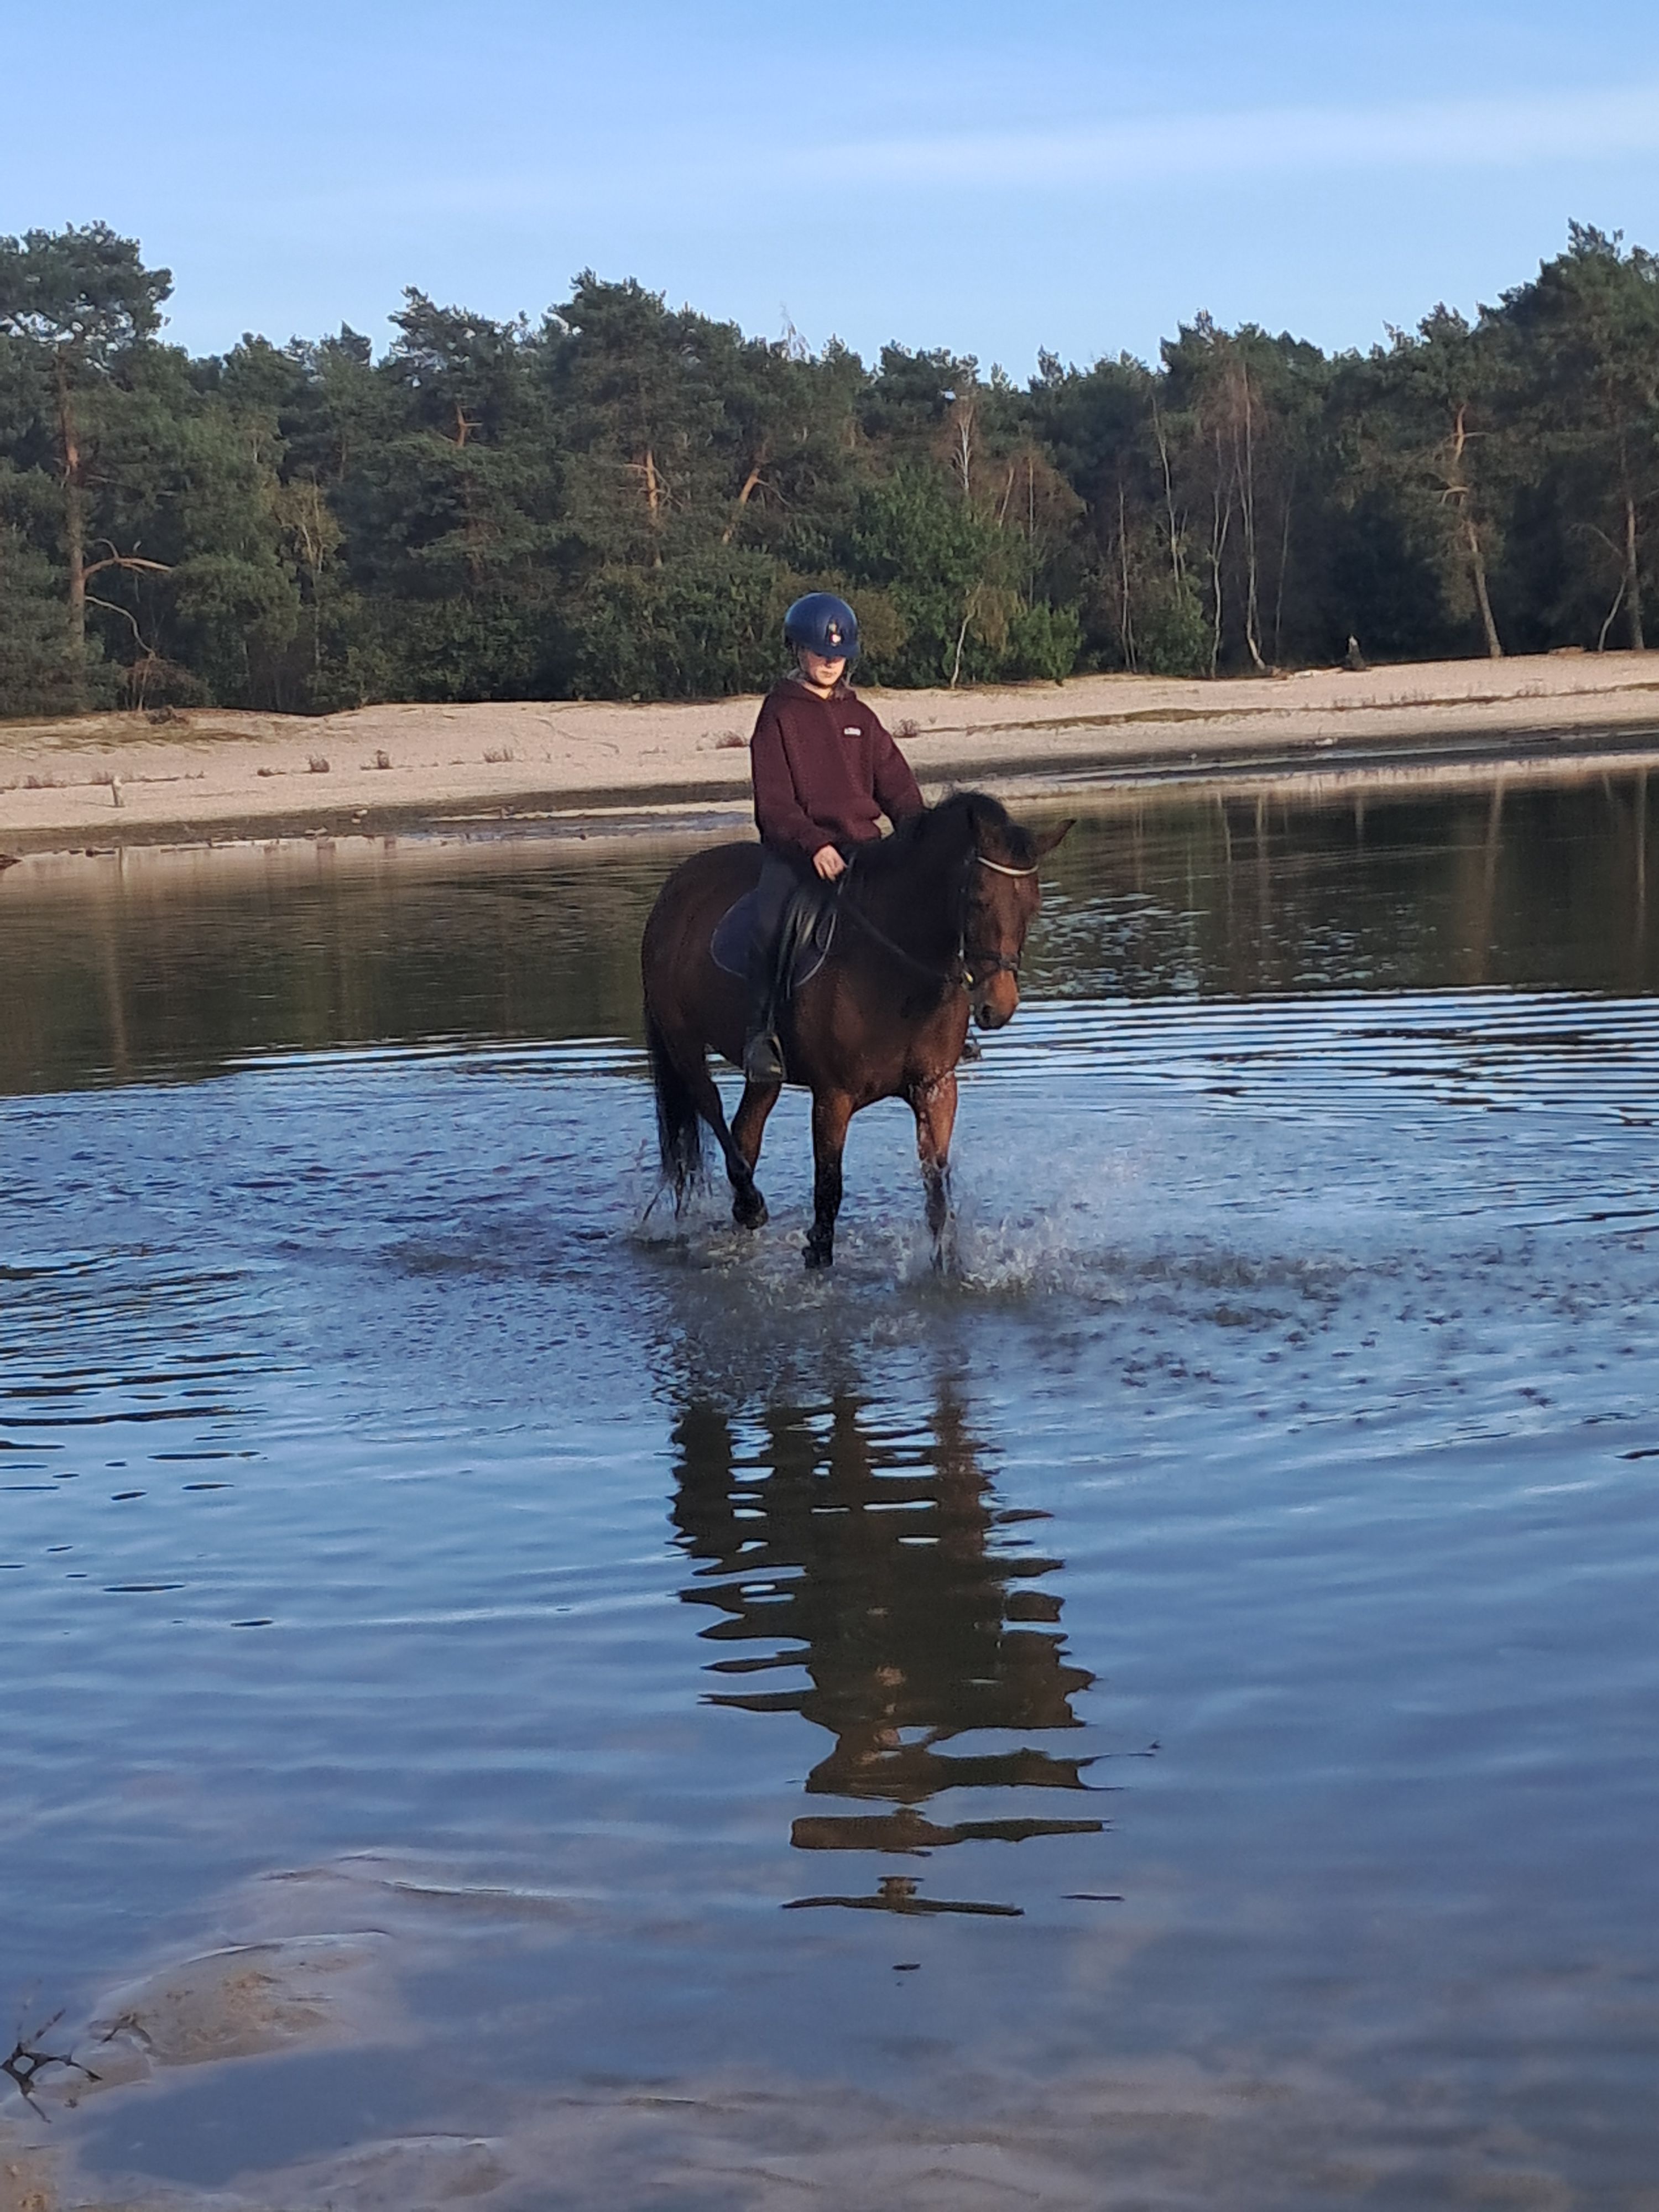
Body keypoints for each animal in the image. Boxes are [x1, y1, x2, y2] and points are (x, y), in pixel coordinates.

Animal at [640, 791, 1072, 1268]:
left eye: (1033, 904)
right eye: (977, 899)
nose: (1000, 1007)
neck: (897, 970)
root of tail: (677, 886)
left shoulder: (935, 1088)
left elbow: (937, 1194)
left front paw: (946, 1267)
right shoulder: (833, 1098)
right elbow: (829, 1191)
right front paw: (817, 1256)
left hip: (764, 1074)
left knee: (745, 1129)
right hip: (682, 1043)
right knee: (712, 1108)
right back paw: (750, 1204)